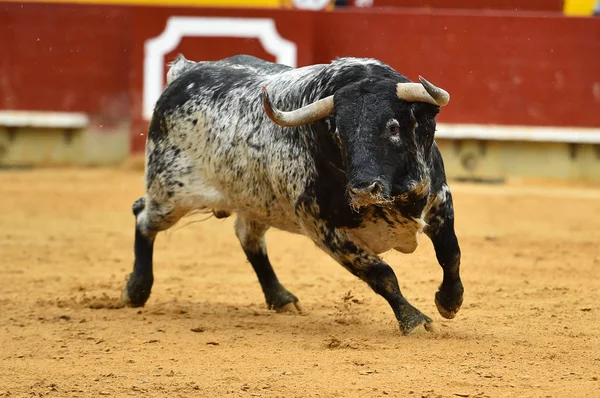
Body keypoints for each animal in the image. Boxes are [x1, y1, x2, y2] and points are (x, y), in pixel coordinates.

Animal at [123, 54, 464, 334]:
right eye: (339, 133)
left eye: (393, 127)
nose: (363, 190)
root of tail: (183, 73)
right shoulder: (326, 231)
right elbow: (382, 274)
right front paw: (414, 320)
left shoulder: (439, 199)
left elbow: (450, 253)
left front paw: (449, 301)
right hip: (170, 193)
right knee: (142, 216)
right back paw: (136, 289)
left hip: (254, 202)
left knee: (248, 238)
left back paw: (280, 297)